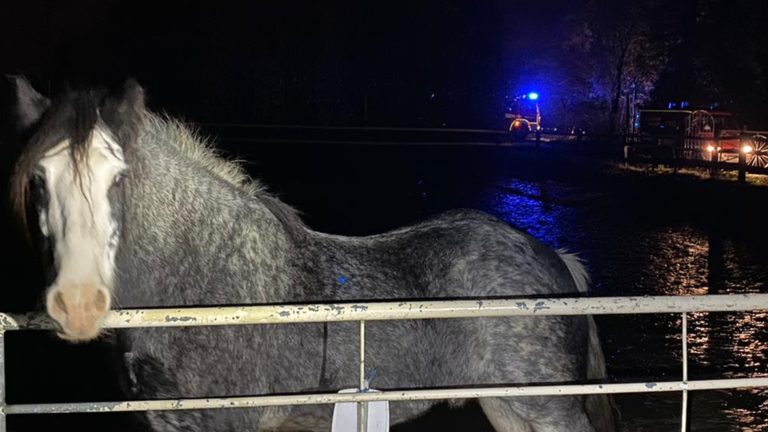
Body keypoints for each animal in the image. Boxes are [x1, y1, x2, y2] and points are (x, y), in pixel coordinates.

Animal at [7, 77, 615, 432]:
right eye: (37, 179)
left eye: (119, 177)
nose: (77, 304)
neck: (201, 283)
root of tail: (552, 256)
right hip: (508, 406)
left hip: (548, 409)